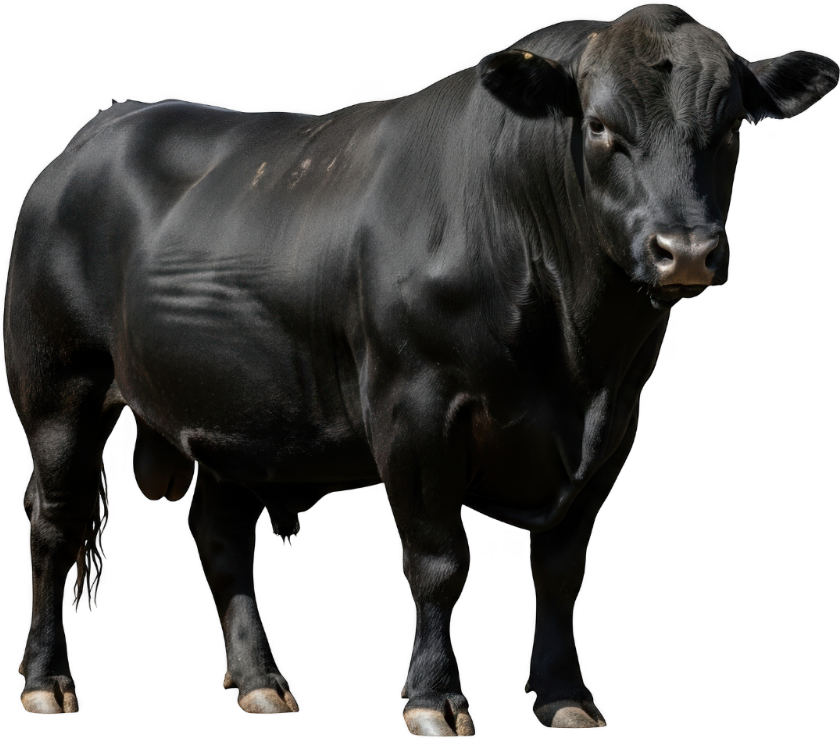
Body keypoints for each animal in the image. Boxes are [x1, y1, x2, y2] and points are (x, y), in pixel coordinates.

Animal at [6, 3, 835, 735]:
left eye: (733, 128)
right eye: (600, 127)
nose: (685, 252)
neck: (578, 359)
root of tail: (113, 120)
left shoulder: (616, 431)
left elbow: (561, 570)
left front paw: (566, 697)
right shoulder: (416, 409)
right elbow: (439, 561)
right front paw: (435, 699)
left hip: (222, 414)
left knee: (222, 540)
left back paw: (259, 683)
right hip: (58, 389)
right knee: (55, 523)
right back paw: (48, 681)